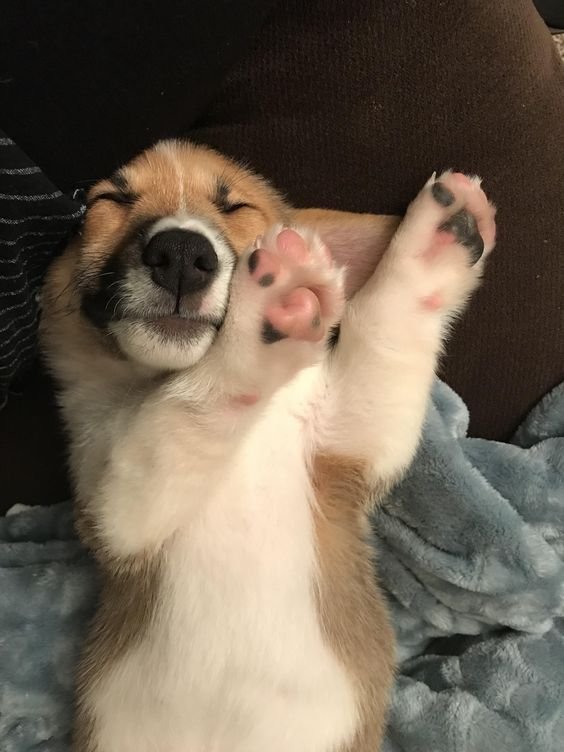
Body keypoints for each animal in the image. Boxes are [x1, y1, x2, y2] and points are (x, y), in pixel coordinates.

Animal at [41, 141, 496, 752]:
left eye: (235, 206)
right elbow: (180, 412)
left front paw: (440, 235)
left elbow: (386, 320)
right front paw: (262, 318)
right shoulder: (114, 507)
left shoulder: (352, 434)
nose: (181, 253)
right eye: (108, 200)